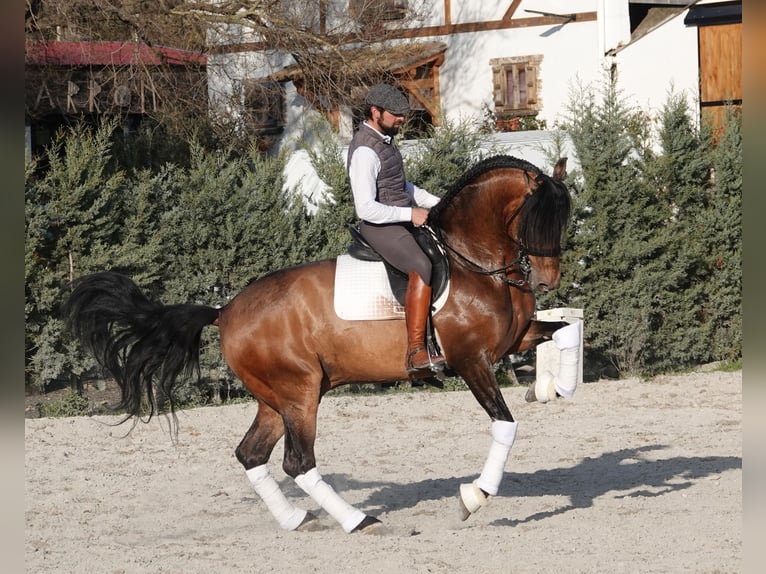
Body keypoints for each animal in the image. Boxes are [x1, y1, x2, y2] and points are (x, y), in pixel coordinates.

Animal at [63, 154, 575, 534]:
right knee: (298, 462)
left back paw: (295, 519)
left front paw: (552, 388)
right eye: (535, 219)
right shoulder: (471, 360)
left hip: (277, 400)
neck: (475, 260)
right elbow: (505, 425)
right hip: (301, 393)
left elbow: (565, 330)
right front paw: (475, 495)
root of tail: (225, 311)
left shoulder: (514, 339)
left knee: (252, 454)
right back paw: (358, 521)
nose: (546, 281)